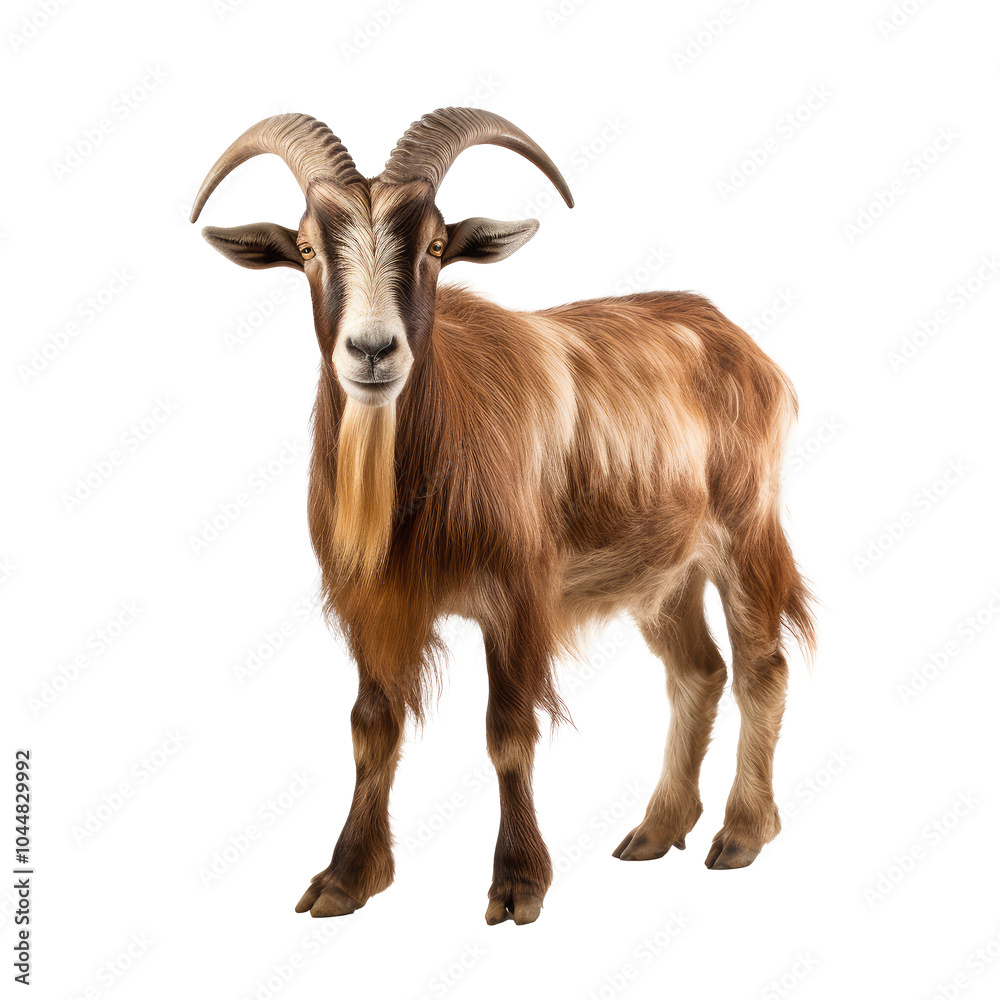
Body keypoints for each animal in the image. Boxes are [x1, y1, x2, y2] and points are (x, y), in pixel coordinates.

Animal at [191, 108, 815, 926]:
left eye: (433, 245)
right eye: (305, 248)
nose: (372, 350)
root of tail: (739, 342)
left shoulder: (518, 596)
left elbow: (509, 732)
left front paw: (518, 884)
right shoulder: (374, 605)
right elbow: (371, 729)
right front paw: (346, 878)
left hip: (745, 528)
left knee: (759, 667)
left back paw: (741, 834)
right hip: (661, 570)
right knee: (698, 671)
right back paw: (655, 830)